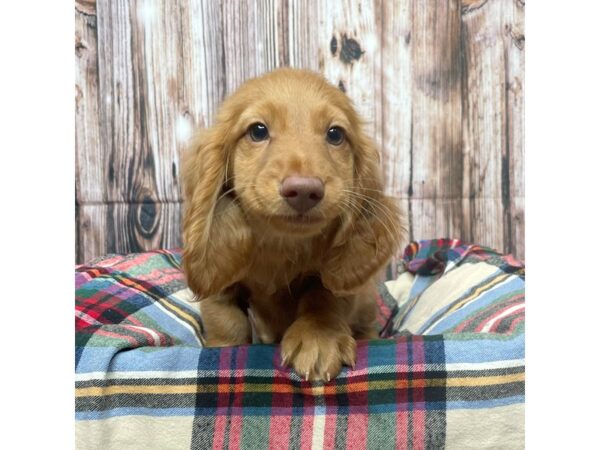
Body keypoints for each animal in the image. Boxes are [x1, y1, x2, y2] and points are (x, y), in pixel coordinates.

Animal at [183, 68, 406, 382]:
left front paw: (318, 339)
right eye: (258, 131)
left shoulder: (335, 281)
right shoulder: (222, 282)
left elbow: (322, 295)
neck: (280, 243)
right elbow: (226, 320)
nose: (303, 190)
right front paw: (224, 349)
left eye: (335, 134)